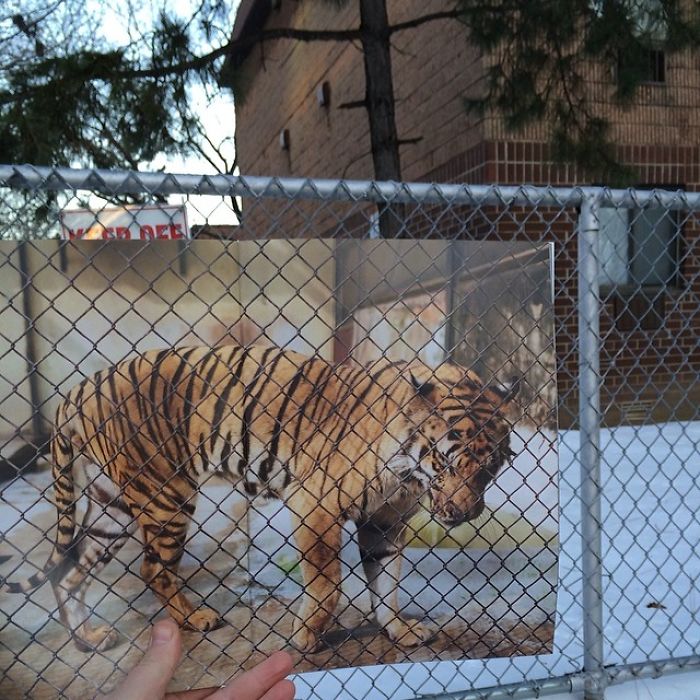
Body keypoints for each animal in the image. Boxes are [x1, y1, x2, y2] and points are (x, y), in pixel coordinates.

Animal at [2, 344, 520, 656]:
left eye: (490, 466)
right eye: (446, 461)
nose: (463, 513)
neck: (409, 474)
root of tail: (77, 389)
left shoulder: (385, 522)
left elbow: (387, 583)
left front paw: (399, 630)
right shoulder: (316, 504)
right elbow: (328, 583)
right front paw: (307, 637)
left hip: (112, 508)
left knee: (70, 573)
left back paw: (89, 638)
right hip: (166, 494)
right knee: (152, 568)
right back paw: (196, 618)